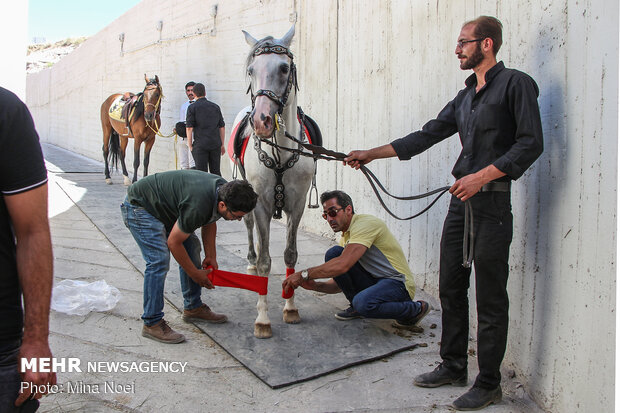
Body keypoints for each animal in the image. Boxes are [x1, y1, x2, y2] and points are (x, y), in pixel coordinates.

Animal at [234, 24, 318, 336]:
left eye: (284, 68)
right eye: (251, 70)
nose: (261, 121)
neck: (280, 152)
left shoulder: (298, 205)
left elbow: (290, 255)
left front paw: (290, 307)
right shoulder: (260, 204)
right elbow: (265, 262)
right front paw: (262, 319)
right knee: (251, 233)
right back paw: (249, 260)